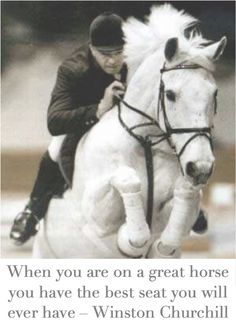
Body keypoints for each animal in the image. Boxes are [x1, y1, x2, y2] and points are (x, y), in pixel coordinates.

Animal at [32, 3, 227, 258]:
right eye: (170, 94)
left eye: (214, 93)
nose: (201, 168)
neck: (146, 141)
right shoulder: (94, 215)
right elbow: (128, 182)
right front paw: (131, 239)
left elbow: (184, 201)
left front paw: (164, 245)